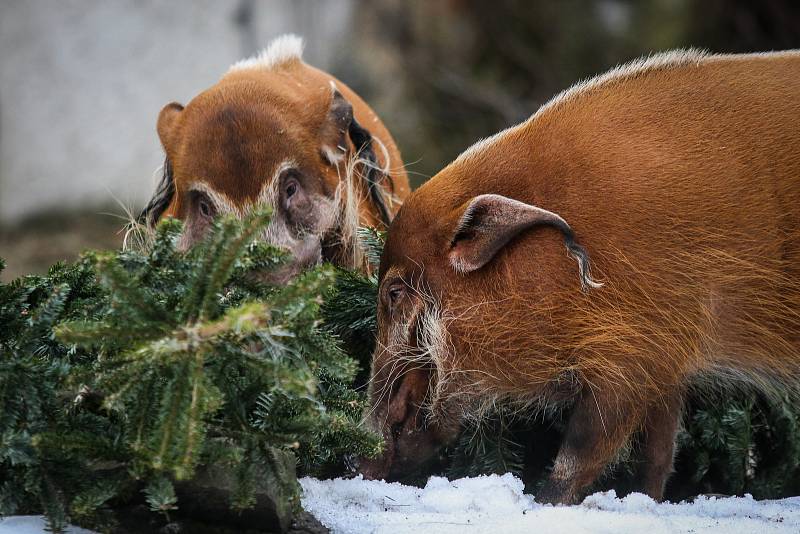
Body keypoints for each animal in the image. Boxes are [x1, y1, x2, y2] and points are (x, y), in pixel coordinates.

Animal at [360, 50, 800, 506]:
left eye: (394, 292)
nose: (359, 461)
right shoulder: (667, 366)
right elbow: (658, 455)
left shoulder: (633, 357)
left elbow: (582, 452)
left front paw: (544, 503)